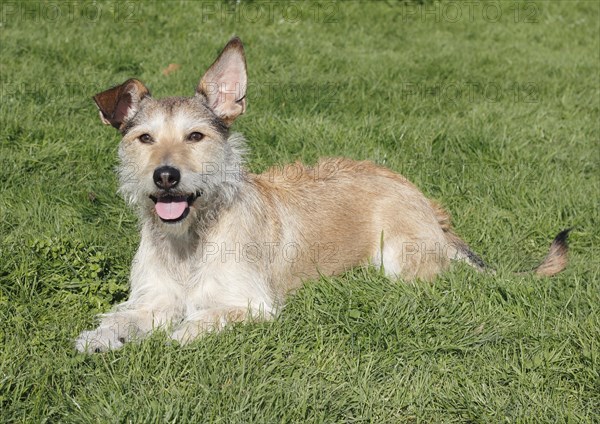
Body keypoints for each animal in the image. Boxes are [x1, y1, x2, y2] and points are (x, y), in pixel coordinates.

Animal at [76, 38, 572, 352]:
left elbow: (196, 322)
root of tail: (425, 201)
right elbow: (125, 316)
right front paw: (101, 338)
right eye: (144, 138)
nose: (165, 176)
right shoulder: (151, 298)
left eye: (195, 136)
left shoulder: (252, 305)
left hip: (399, 261)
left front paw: (174, 337)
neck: (191, 240)